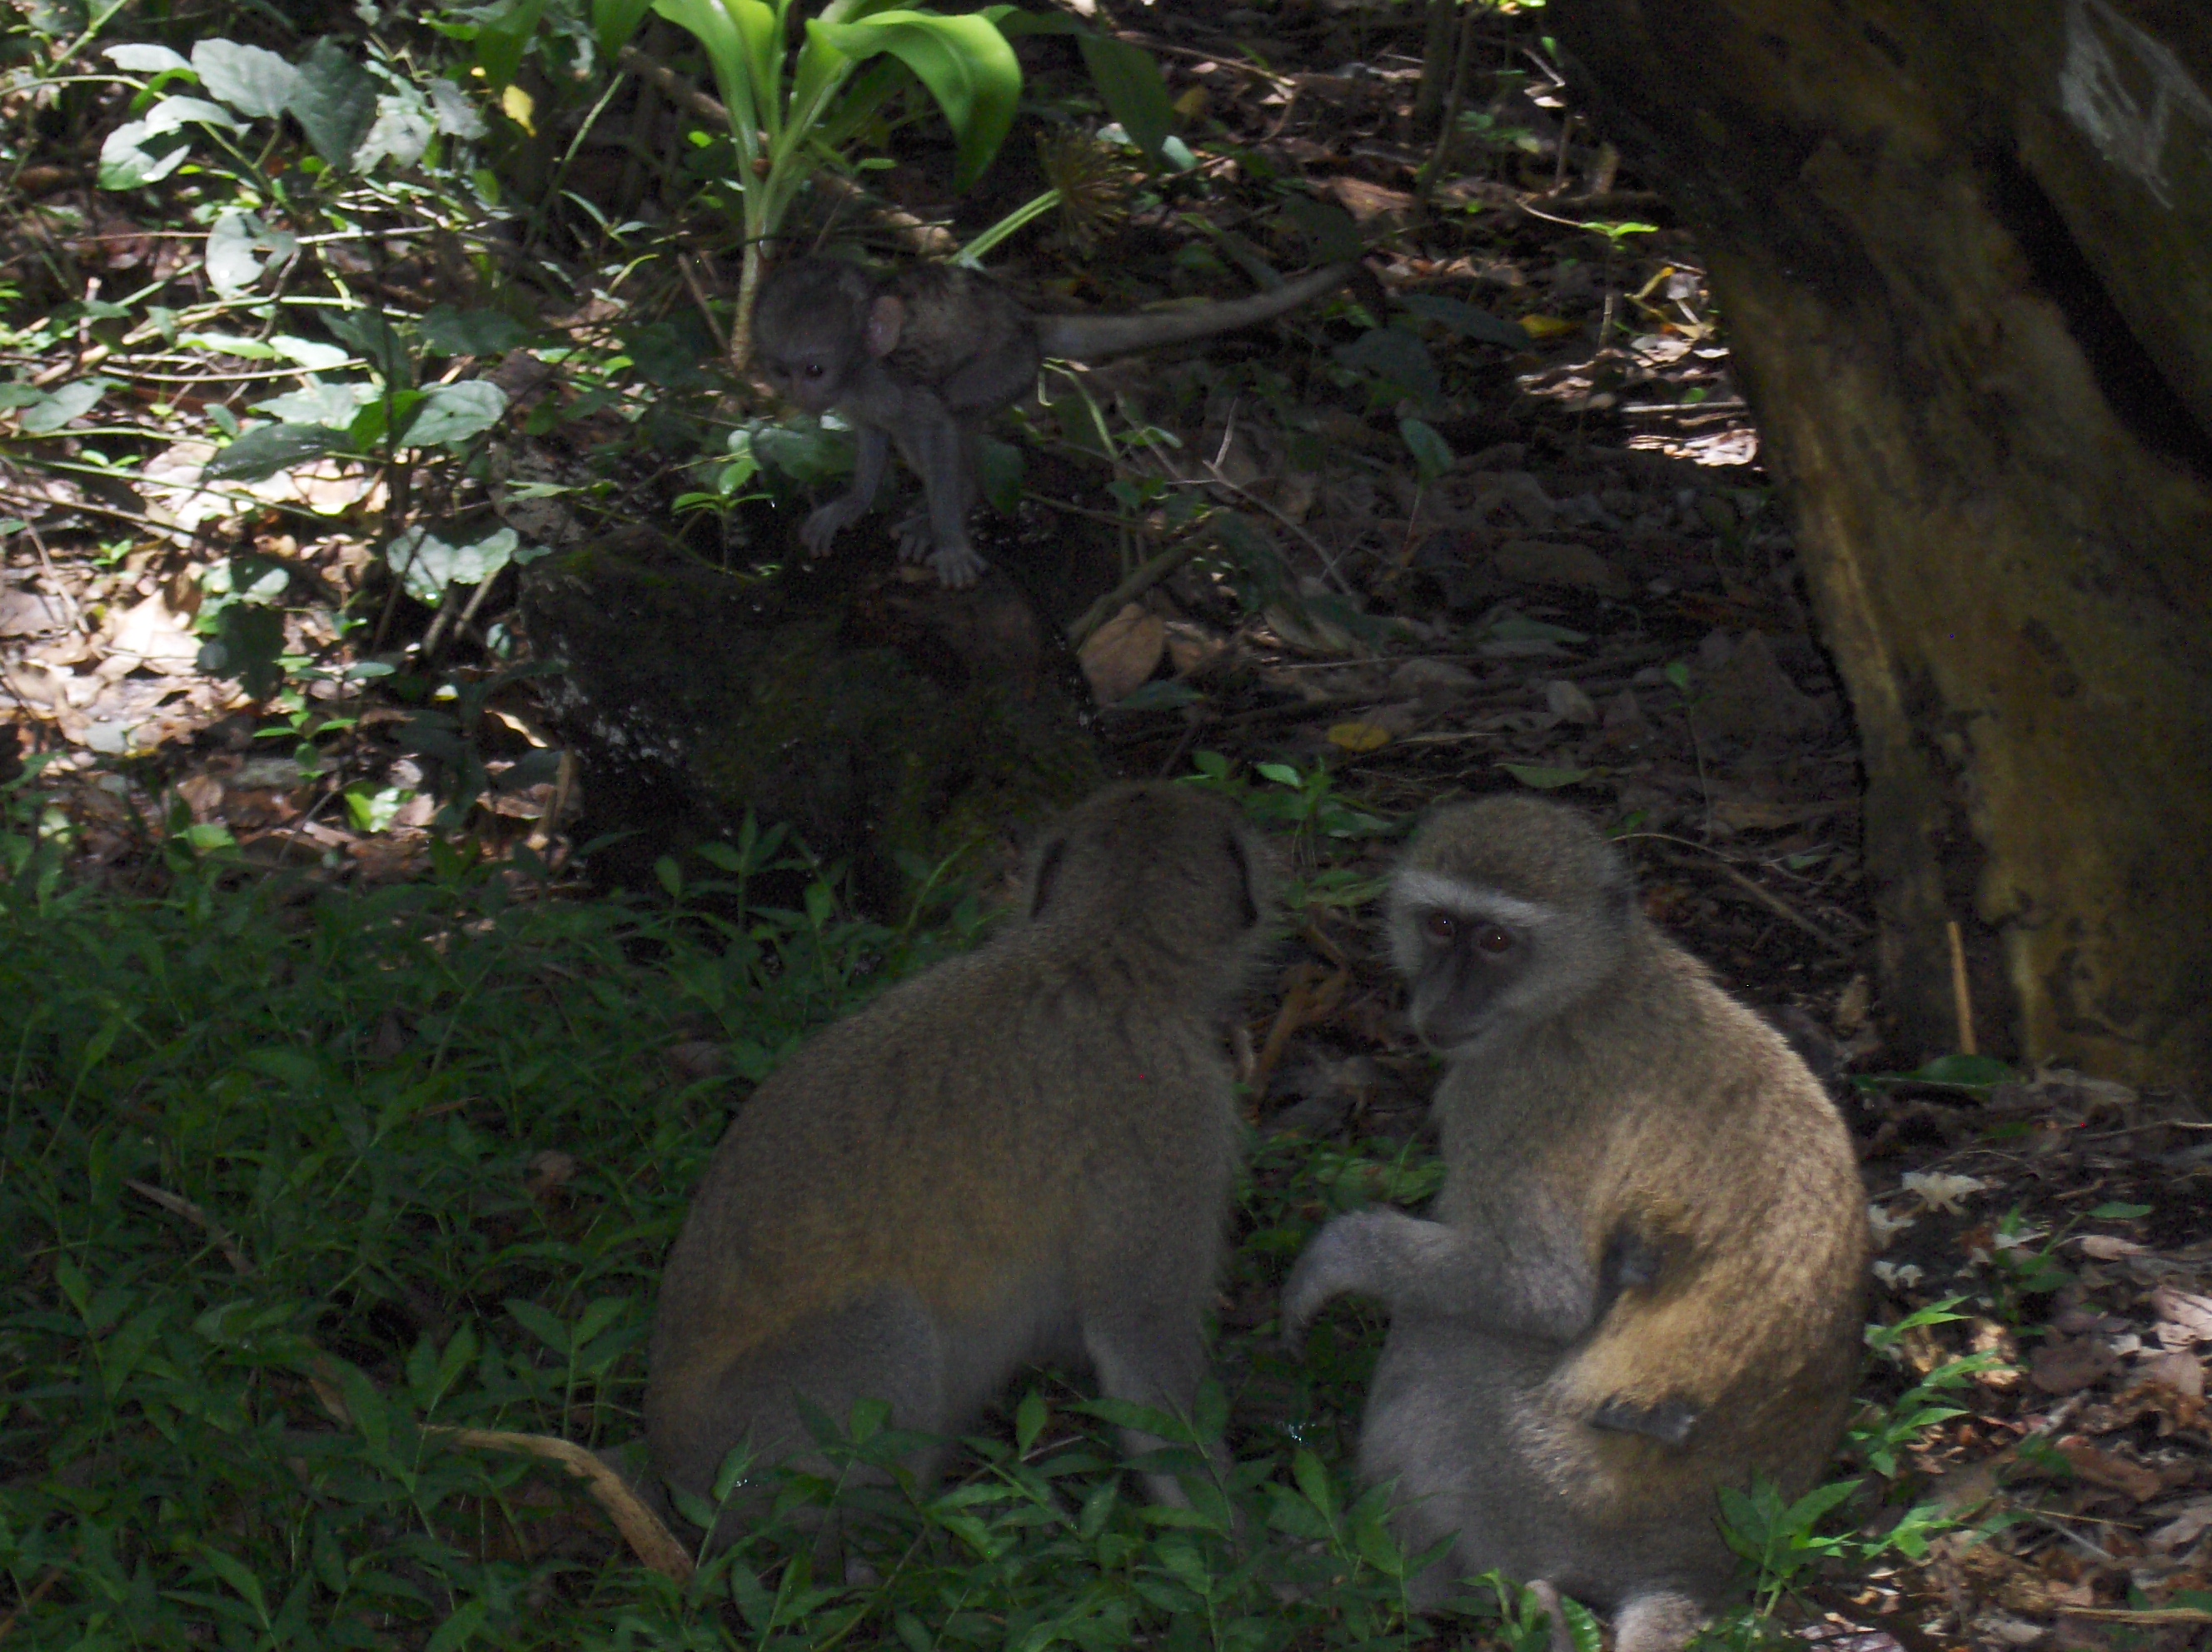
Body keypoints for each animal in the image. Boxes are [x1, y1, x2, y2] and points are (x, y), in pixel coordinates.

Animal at [645, 781, 1279, 1550]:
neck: (1100, 954)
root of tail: (675, 1472)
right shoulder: (1169, 1120)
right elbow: (1139, 1341)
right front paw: (1254, 1553)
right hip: (764, 1449)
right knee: (887, 1319)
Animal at [751, 255, 1357, 587]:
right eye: (780, 369)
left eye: (814, 369)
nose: (796, 393)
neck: (861, 369)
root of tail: (1027, 324)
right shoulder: (861, 401)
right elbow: (875, 433)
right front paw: (852, 505)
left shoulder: (890, 382)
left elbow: (935, 422)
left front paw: (949, 534)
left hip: (1008, 367)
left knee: (953, 411)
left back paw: (950, 506)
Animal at [1279, 795, 1869, 1652]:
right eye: (1440, 926)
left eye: (1496, 941)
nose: (1444, 999)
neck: (1594, 982)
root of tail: (1689, 1563)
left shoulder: (1506, 1090)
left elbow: (1541, 1296)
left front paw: (1334, 1257)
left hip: (1543, 1492)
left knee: (1445, 1333)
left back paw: (1401, 1580)